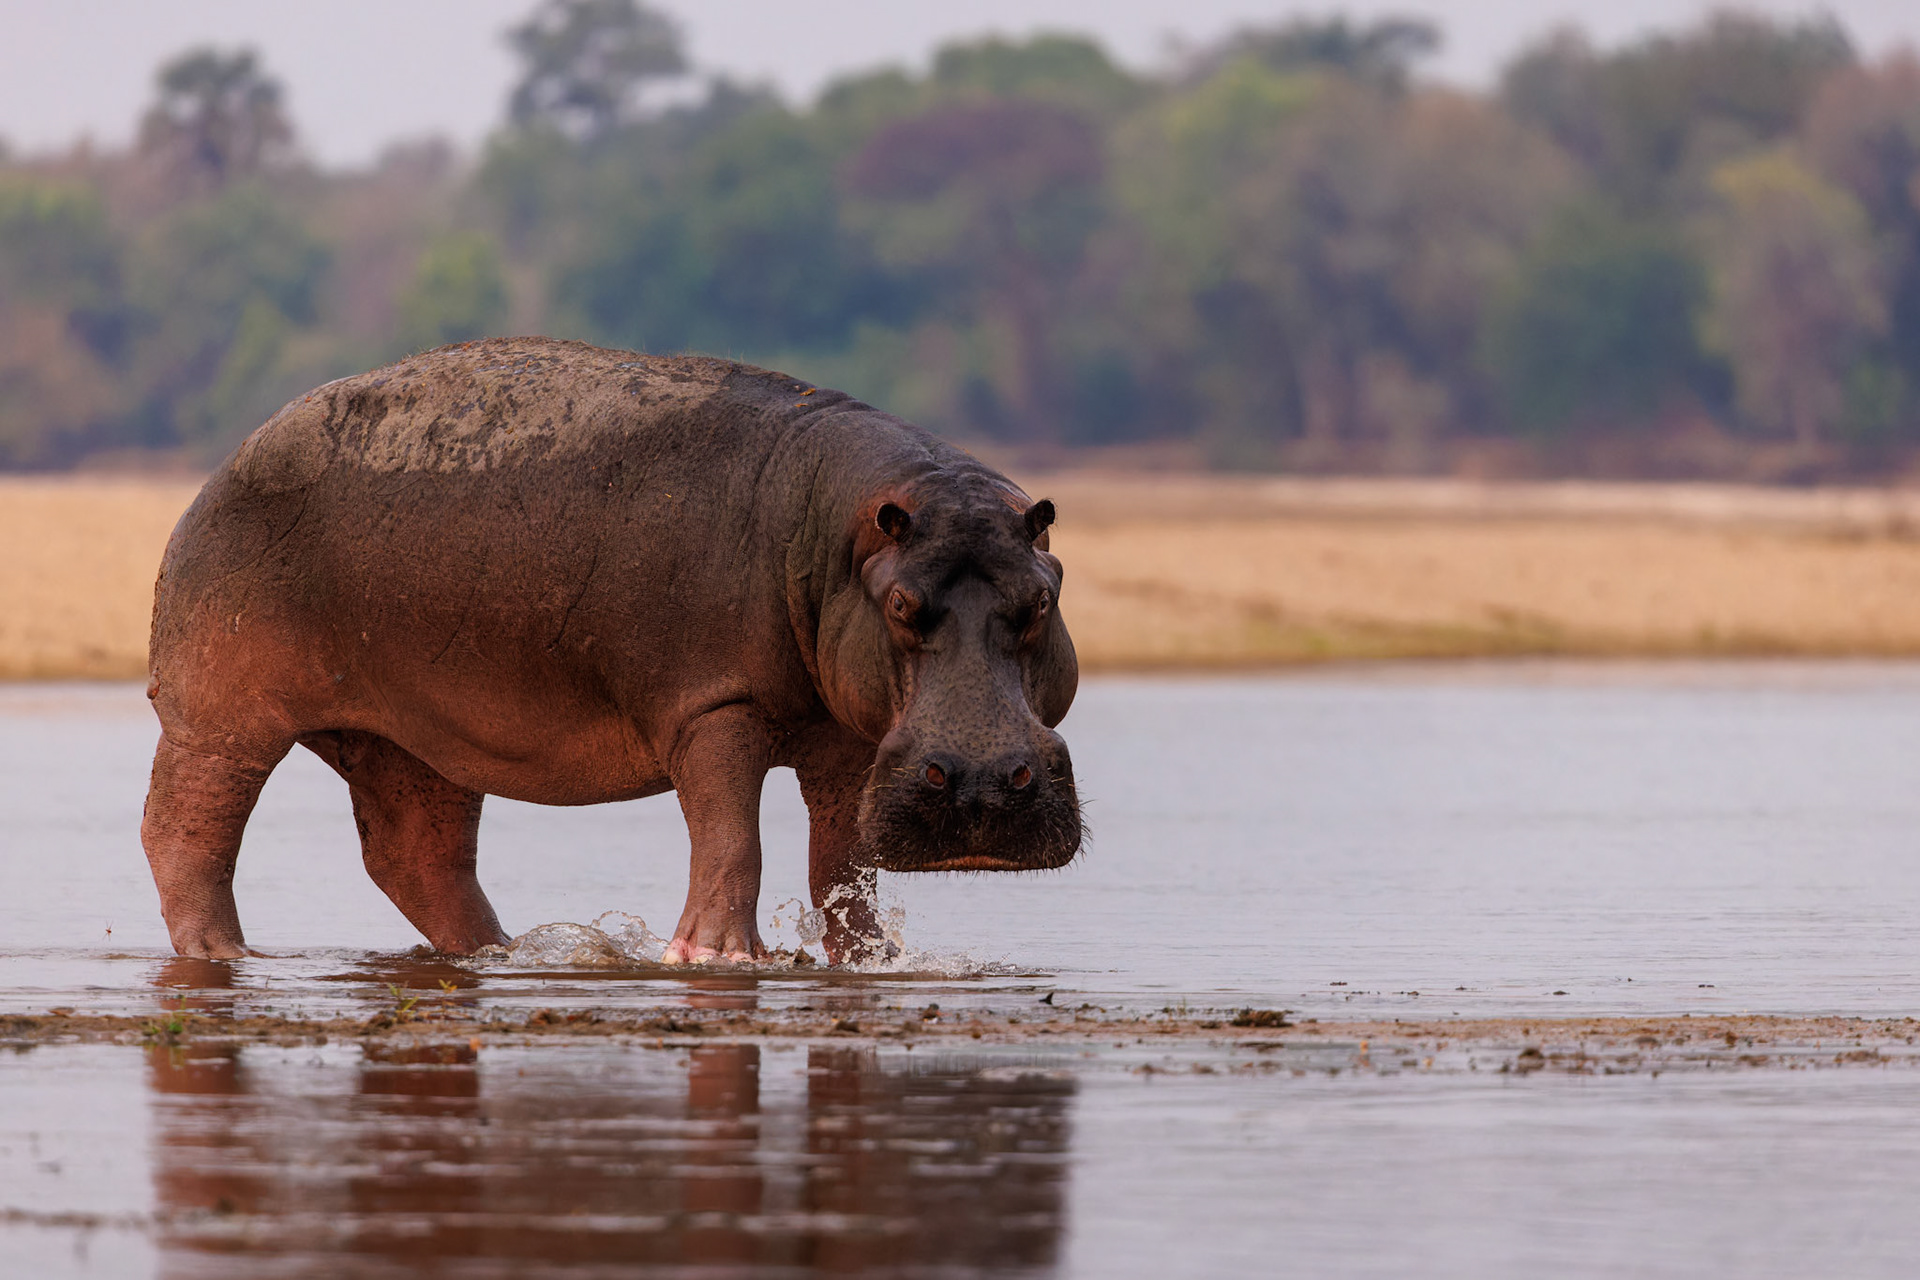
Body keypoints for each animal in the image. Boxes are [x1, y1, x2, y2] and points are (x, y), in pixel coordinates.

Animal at [141, 338, 1081, 964]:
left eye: (1043, 596)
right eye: (901, 604)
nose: (981, 780)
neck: (846, 533)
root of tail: (228, 461)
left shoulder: (852, 740)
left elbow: (841, 867)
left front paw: (866, 959)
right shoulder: (714, 703)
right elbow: (730, 836)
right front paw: (715, 958)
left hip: (414, 737)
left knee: (418, 855)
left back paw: (504, 952)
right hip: (221, 715)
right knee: (187, 831)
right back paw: (223, 957)